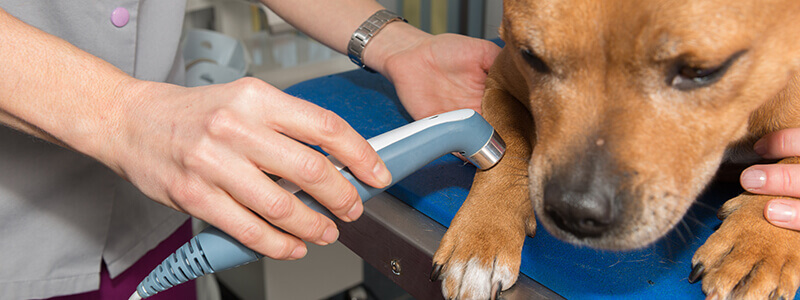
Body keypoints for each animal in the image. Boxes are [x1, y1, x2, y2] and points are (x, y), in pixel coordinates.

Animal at [434, 0, 800, 298]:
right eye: (530, 56)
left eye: (702, 71)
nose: (574, 210)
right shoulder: (501, 82)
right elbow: (506, 148)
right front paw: (481, 237)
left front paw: (757, 246)